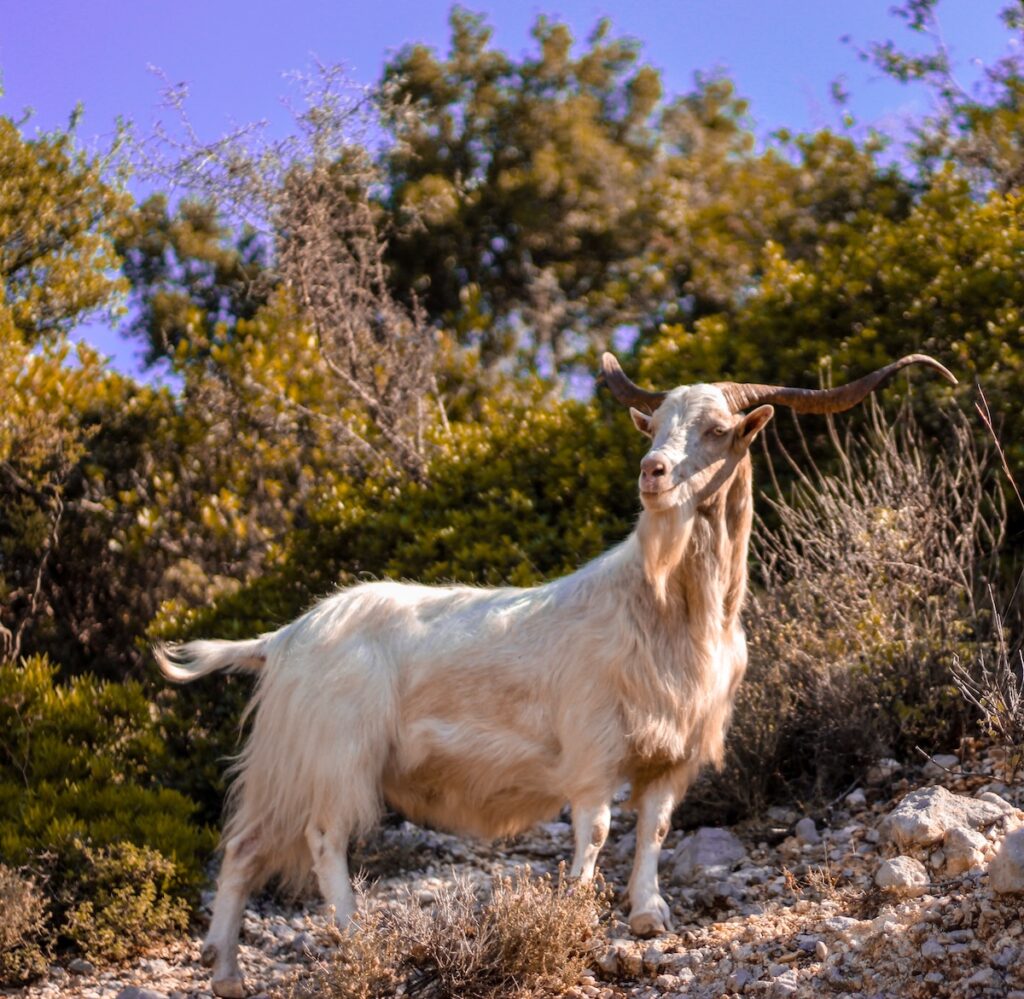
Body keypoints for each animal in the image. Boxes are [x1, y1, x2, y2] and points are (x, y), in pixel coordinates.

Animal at [157, 352, 955, 998]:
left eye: (718, 428)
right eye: (655, 427)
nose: (652, 474)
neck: (667, 607)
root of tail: (286, 636)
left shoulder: (672, 752)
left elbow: (656, 828)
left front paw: (648, 914)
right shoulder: (593, 749)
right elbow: (597, 829)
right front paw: (573, 912)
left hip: (290, 761)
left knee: (243, 848)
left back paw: (226, 973)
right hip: (334, 754)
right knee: (322, 839)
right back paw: (355, 937)